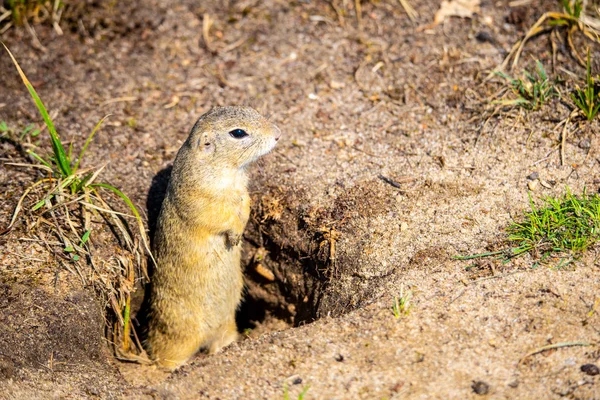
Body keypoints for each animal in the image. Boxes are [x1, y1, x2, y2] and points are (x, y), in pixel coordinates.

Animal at [149, 105, 282, 368]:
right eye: (238, 133)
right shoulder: (201, 199)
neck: (227, 171)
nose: (278, 134)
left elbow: (245, 206)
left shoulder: (243, 191)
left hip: (227, 325)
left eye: (252, 109)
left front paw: (239, 233)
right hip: (177, 336)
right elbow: (219, 217)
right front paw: (234, 235)